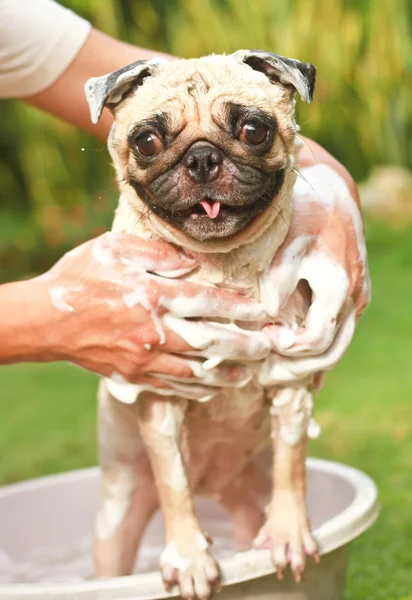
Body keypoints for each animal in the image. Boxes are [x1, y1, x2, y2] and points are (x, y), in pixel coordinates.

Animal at [85, 51, 336, 600]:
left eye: (253, 130)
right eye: (147, 141)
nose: (201, 158)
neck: (221, 266)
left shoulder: (291, 382)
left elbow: (292, 464)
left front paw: (290, 532)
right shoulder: (161, 398)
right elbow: (173, 483)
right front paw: (190, 557)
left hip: (244, 498)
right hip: (117, 519)